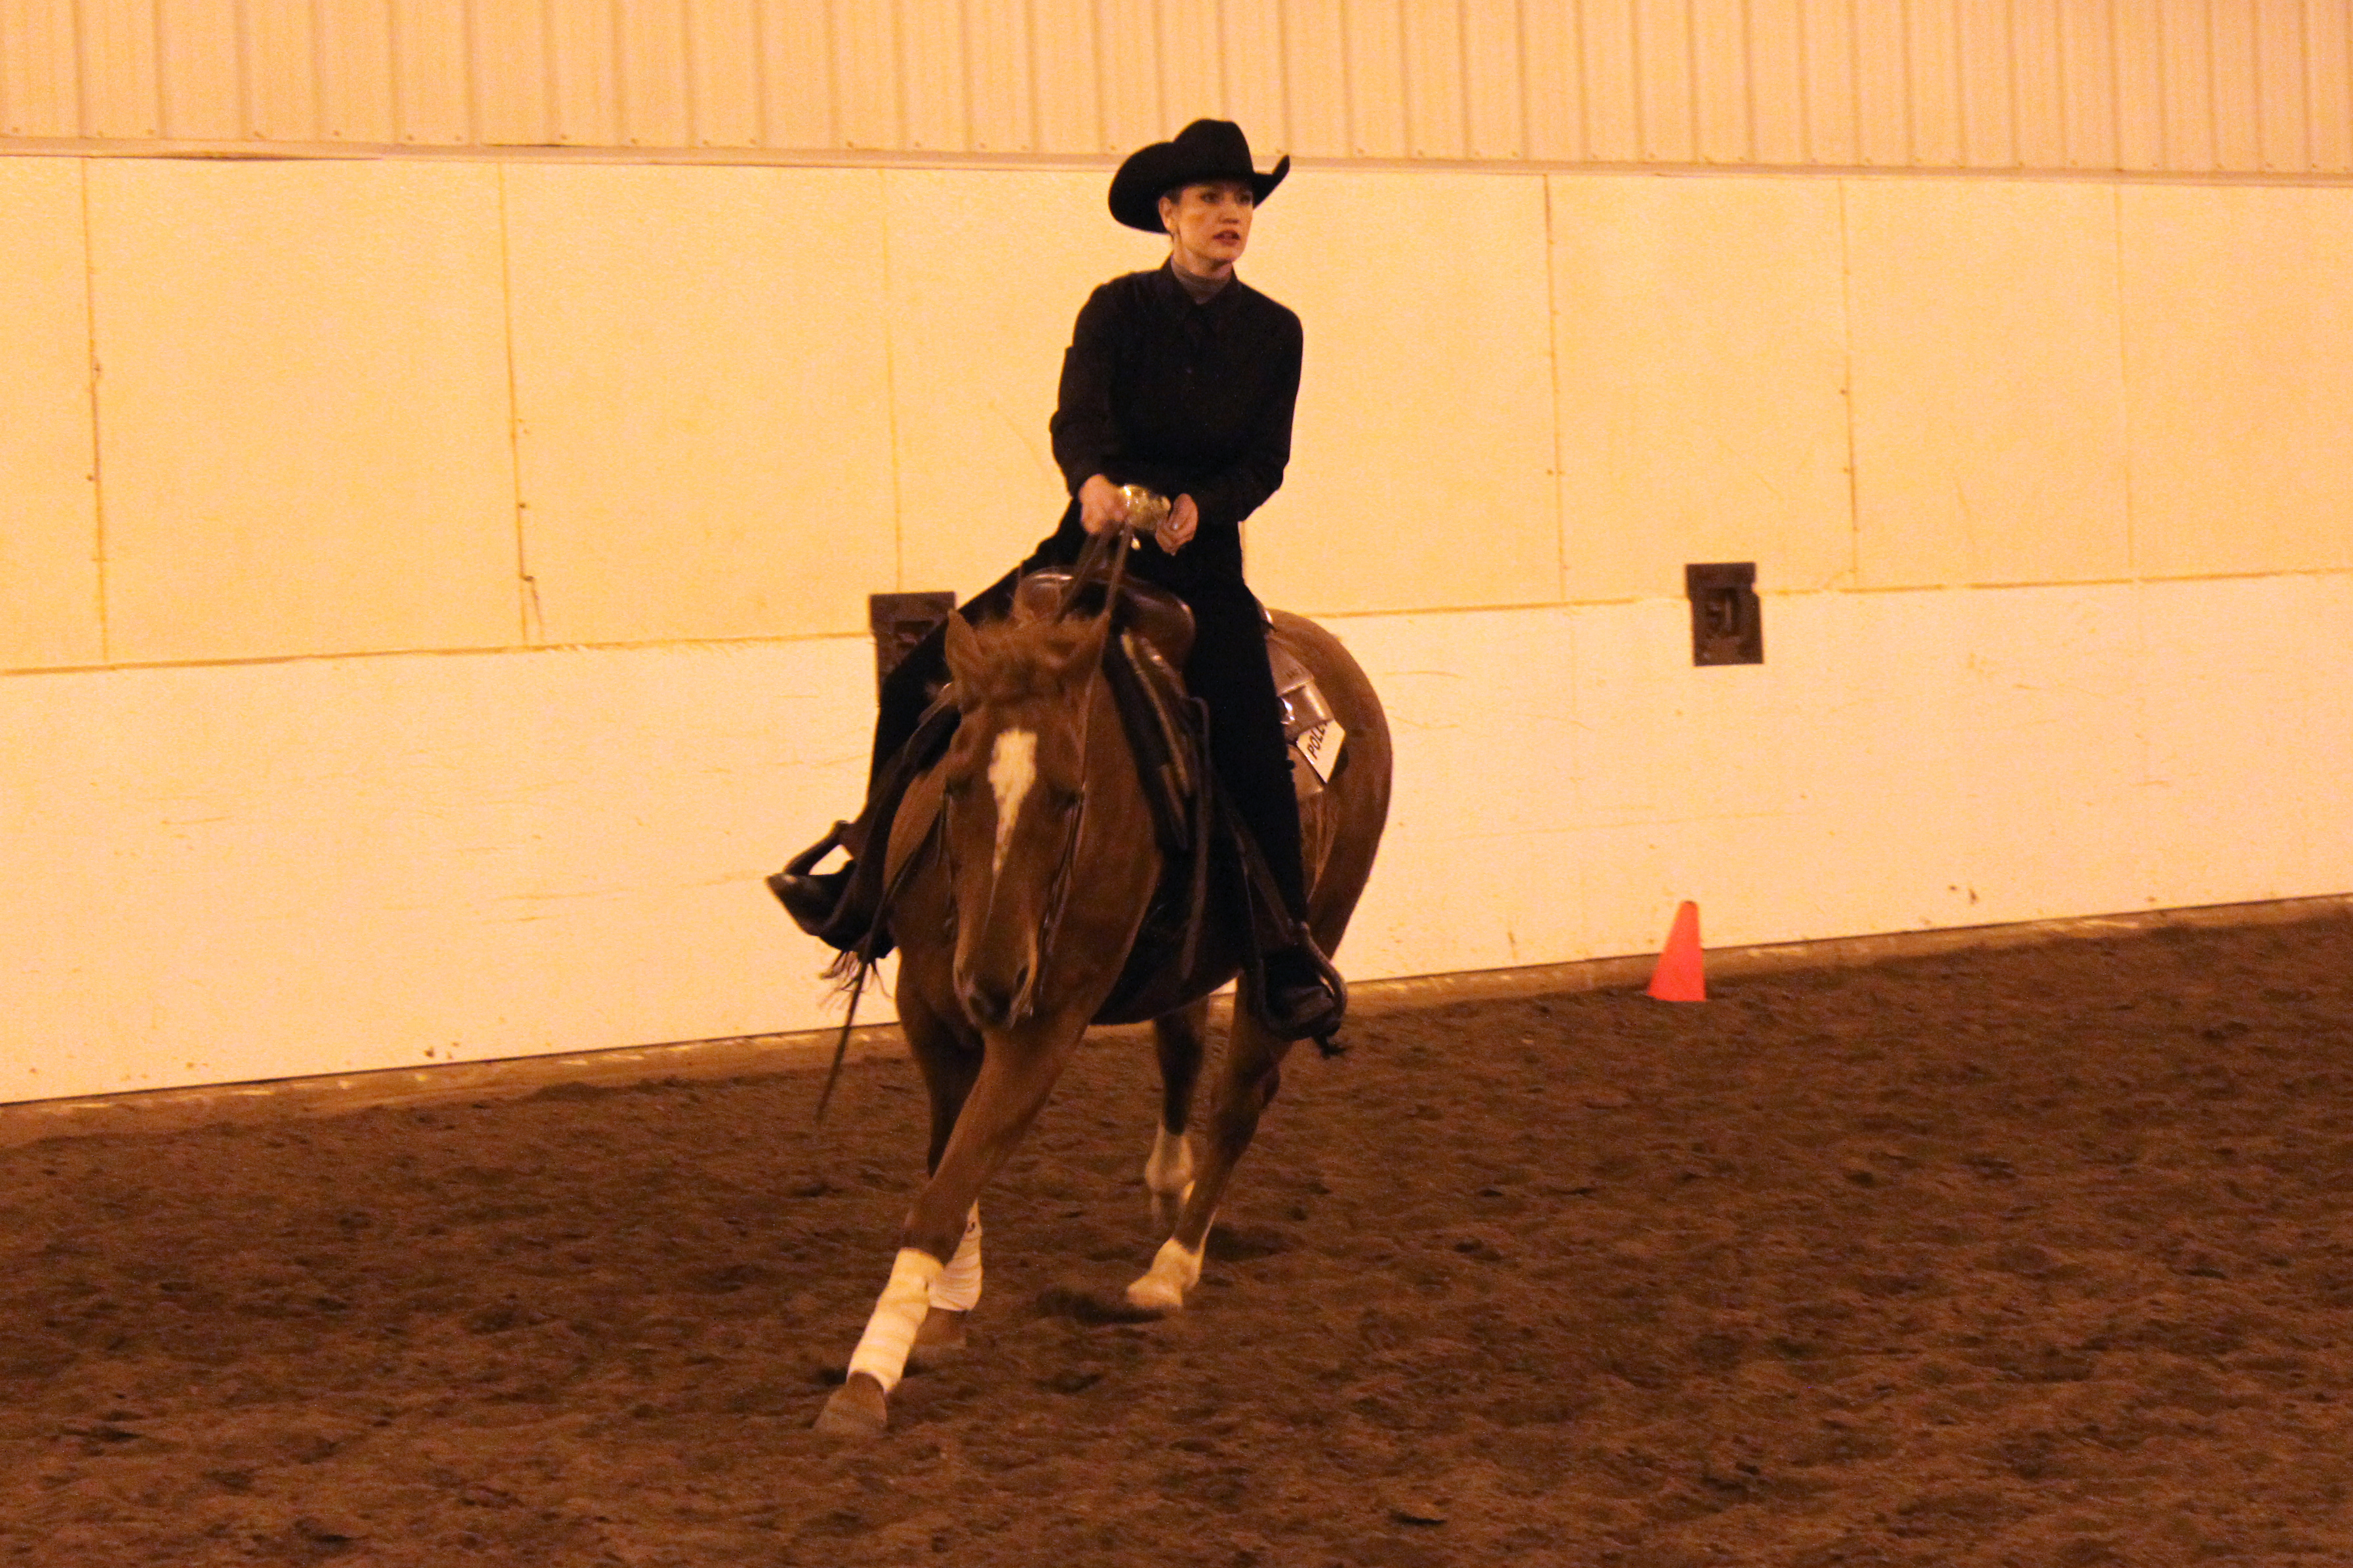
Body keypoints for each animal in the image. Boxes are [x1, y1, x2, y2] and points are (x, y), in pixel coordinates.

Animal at [818, 586, 1383, 1431]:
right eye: (954, 782)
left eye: (1069, 794)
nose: (992, 981)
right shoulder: (929, 1005)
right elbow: (950, 1161)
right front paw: (947, 1309)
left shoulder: (1042, 1027)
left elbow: (946, 1190)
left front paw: (868, 1376)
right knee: (1182, 1050)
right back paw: (1168, 1182)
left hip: (1308, 935)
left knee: (1239, 1099)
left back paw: (1170, 1269)